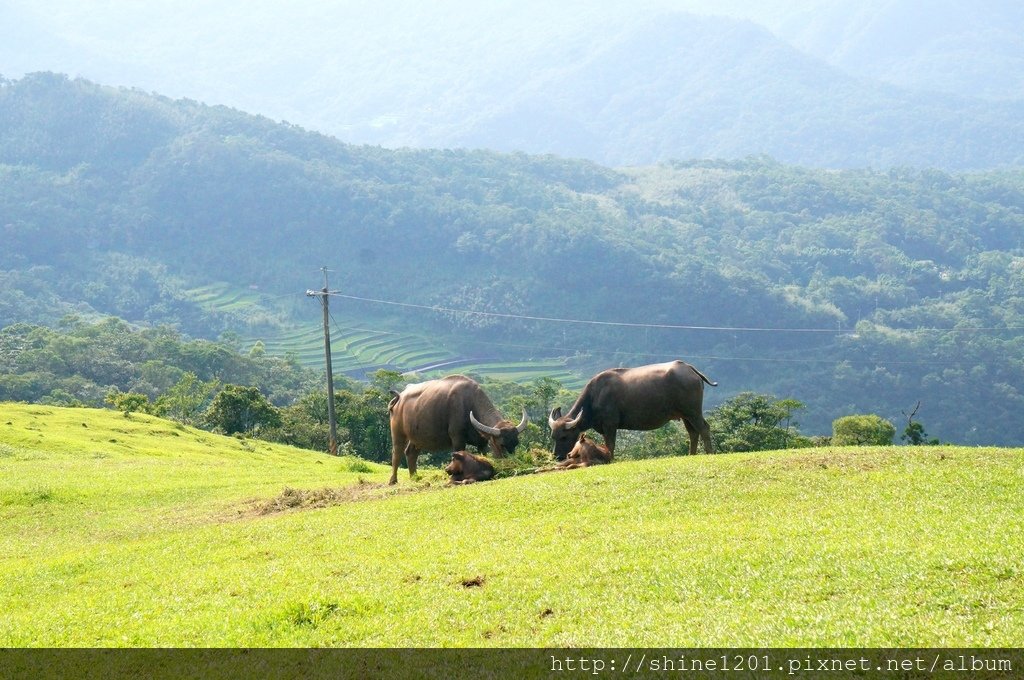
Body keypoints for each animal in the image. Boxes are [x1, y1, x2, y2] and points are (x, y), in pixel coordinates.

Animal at [385, 376, 528, 483]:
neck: (469, 403)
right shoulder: (457, 438)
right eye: (501, 444)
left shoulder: (482, 443)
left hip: (417, 437)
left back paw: (415, 478)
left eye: (516, 443)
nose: (512, 463)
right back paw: (393, 480)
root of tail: (399, 397)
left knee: (411, 453)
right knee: (396, 453)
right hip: (398, 433)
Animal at [548, 358, 716, 458]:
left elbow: (610, 445)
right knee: (693, 432)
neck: (595, 396)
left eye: (564, 437)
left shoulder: (610, 425)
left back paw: (709, 453)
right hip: (686, 415)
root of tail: (689, 368)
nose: (557, 457)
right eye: (553, 437)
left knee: (704, 428)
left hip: (693, 412)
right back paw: (692, 454)